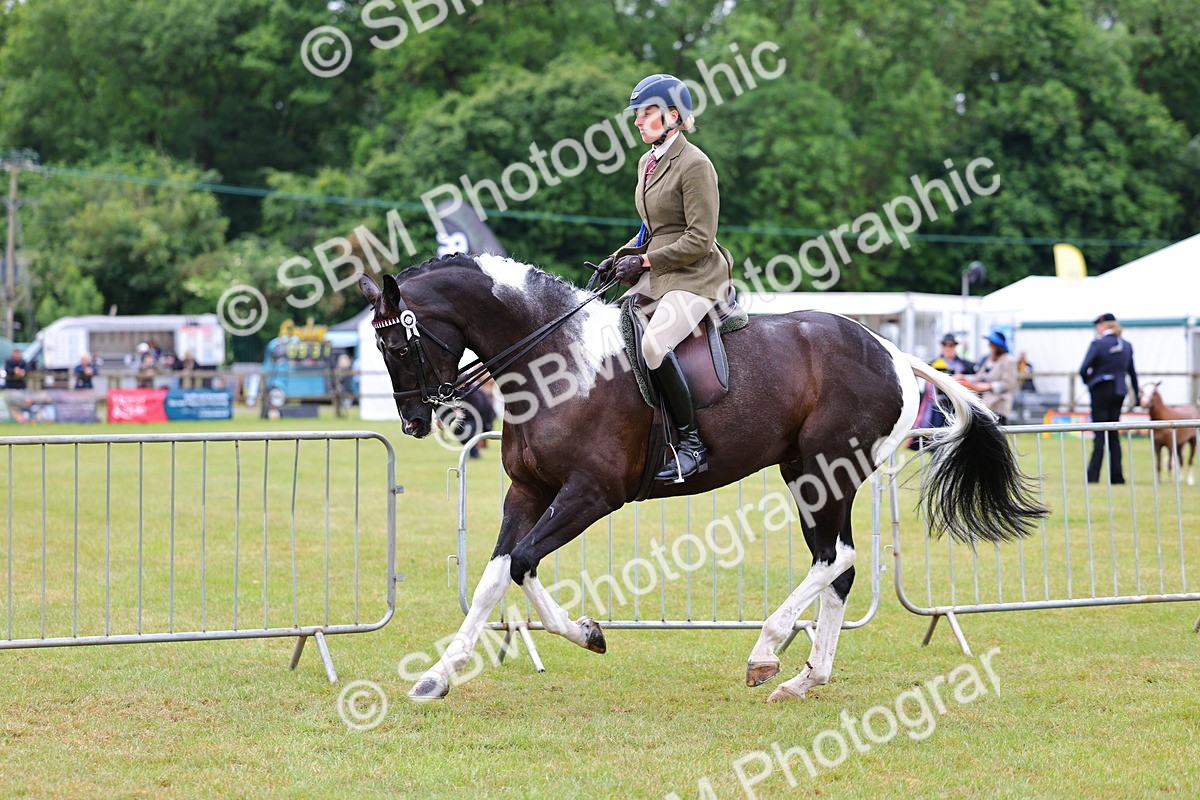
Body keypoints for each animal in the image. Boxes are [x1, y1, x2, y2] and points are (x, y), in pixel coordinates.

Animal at [361, 253, 1045, 702]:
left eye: (397, 347)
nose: (414, 421)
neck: (557, 362)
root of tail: (892, 351)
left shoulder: (592, 494)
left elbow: (525, 563)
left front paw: (587, 633)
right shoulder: (527, 491)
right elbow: (493, 578)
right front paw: (439, 674)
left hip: (825, 470)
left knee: (838, 558)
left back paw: (768, 650)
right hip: (806, 473)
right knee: (838, 566)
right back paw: (807, 677)